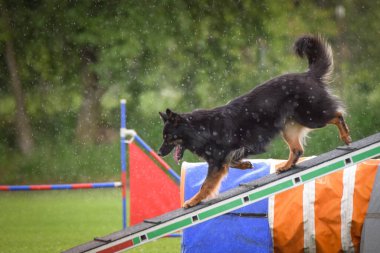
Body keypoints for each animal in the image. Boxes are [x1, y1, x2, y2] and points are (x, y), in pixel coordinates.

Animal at [157, 35, 350, 208]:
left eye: (168, 137)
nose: (159, 153)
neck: (200, 129)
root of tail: (308, 75)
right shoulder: (225, 156)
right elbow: (233, 161)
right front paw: (245, 164)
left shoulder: (217, 162)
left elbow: (206, 184)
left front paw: (193, 201)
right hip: (288, 128)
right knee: (297, 150)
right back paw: (286, 166)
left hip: (310, 116)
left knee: (337, 115)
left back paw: (346, 136)